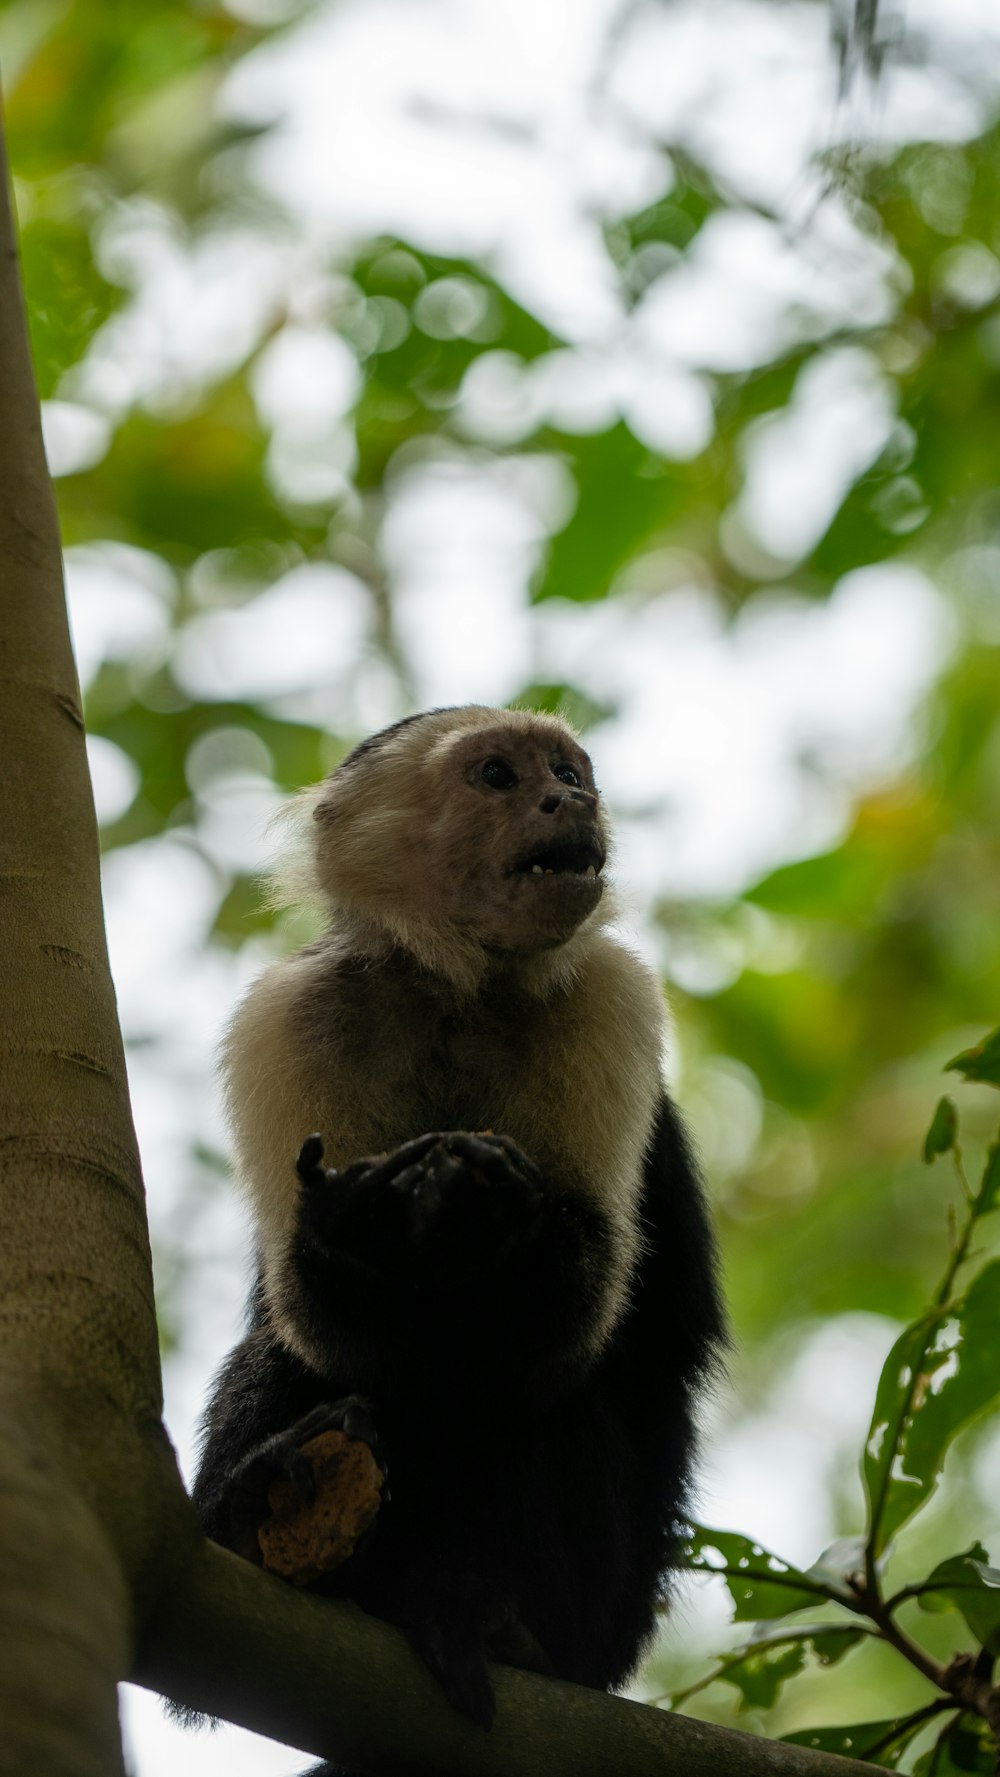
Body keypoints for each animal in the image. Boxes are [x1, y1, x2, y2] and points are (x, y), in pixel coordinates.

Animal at [193, 700, 728, 1769]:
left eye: (570, 772)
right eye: (497, 776)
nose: (569, 800)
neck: (460, 988)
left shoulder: (606, 999)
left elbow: (565, 1331)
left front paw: (486, 1210)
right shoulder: (291, 1016)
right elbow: (319, 1323)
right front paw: (362, 1223)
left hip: (602, 1618)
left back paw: (491, 1618)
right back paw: (271, 1511)